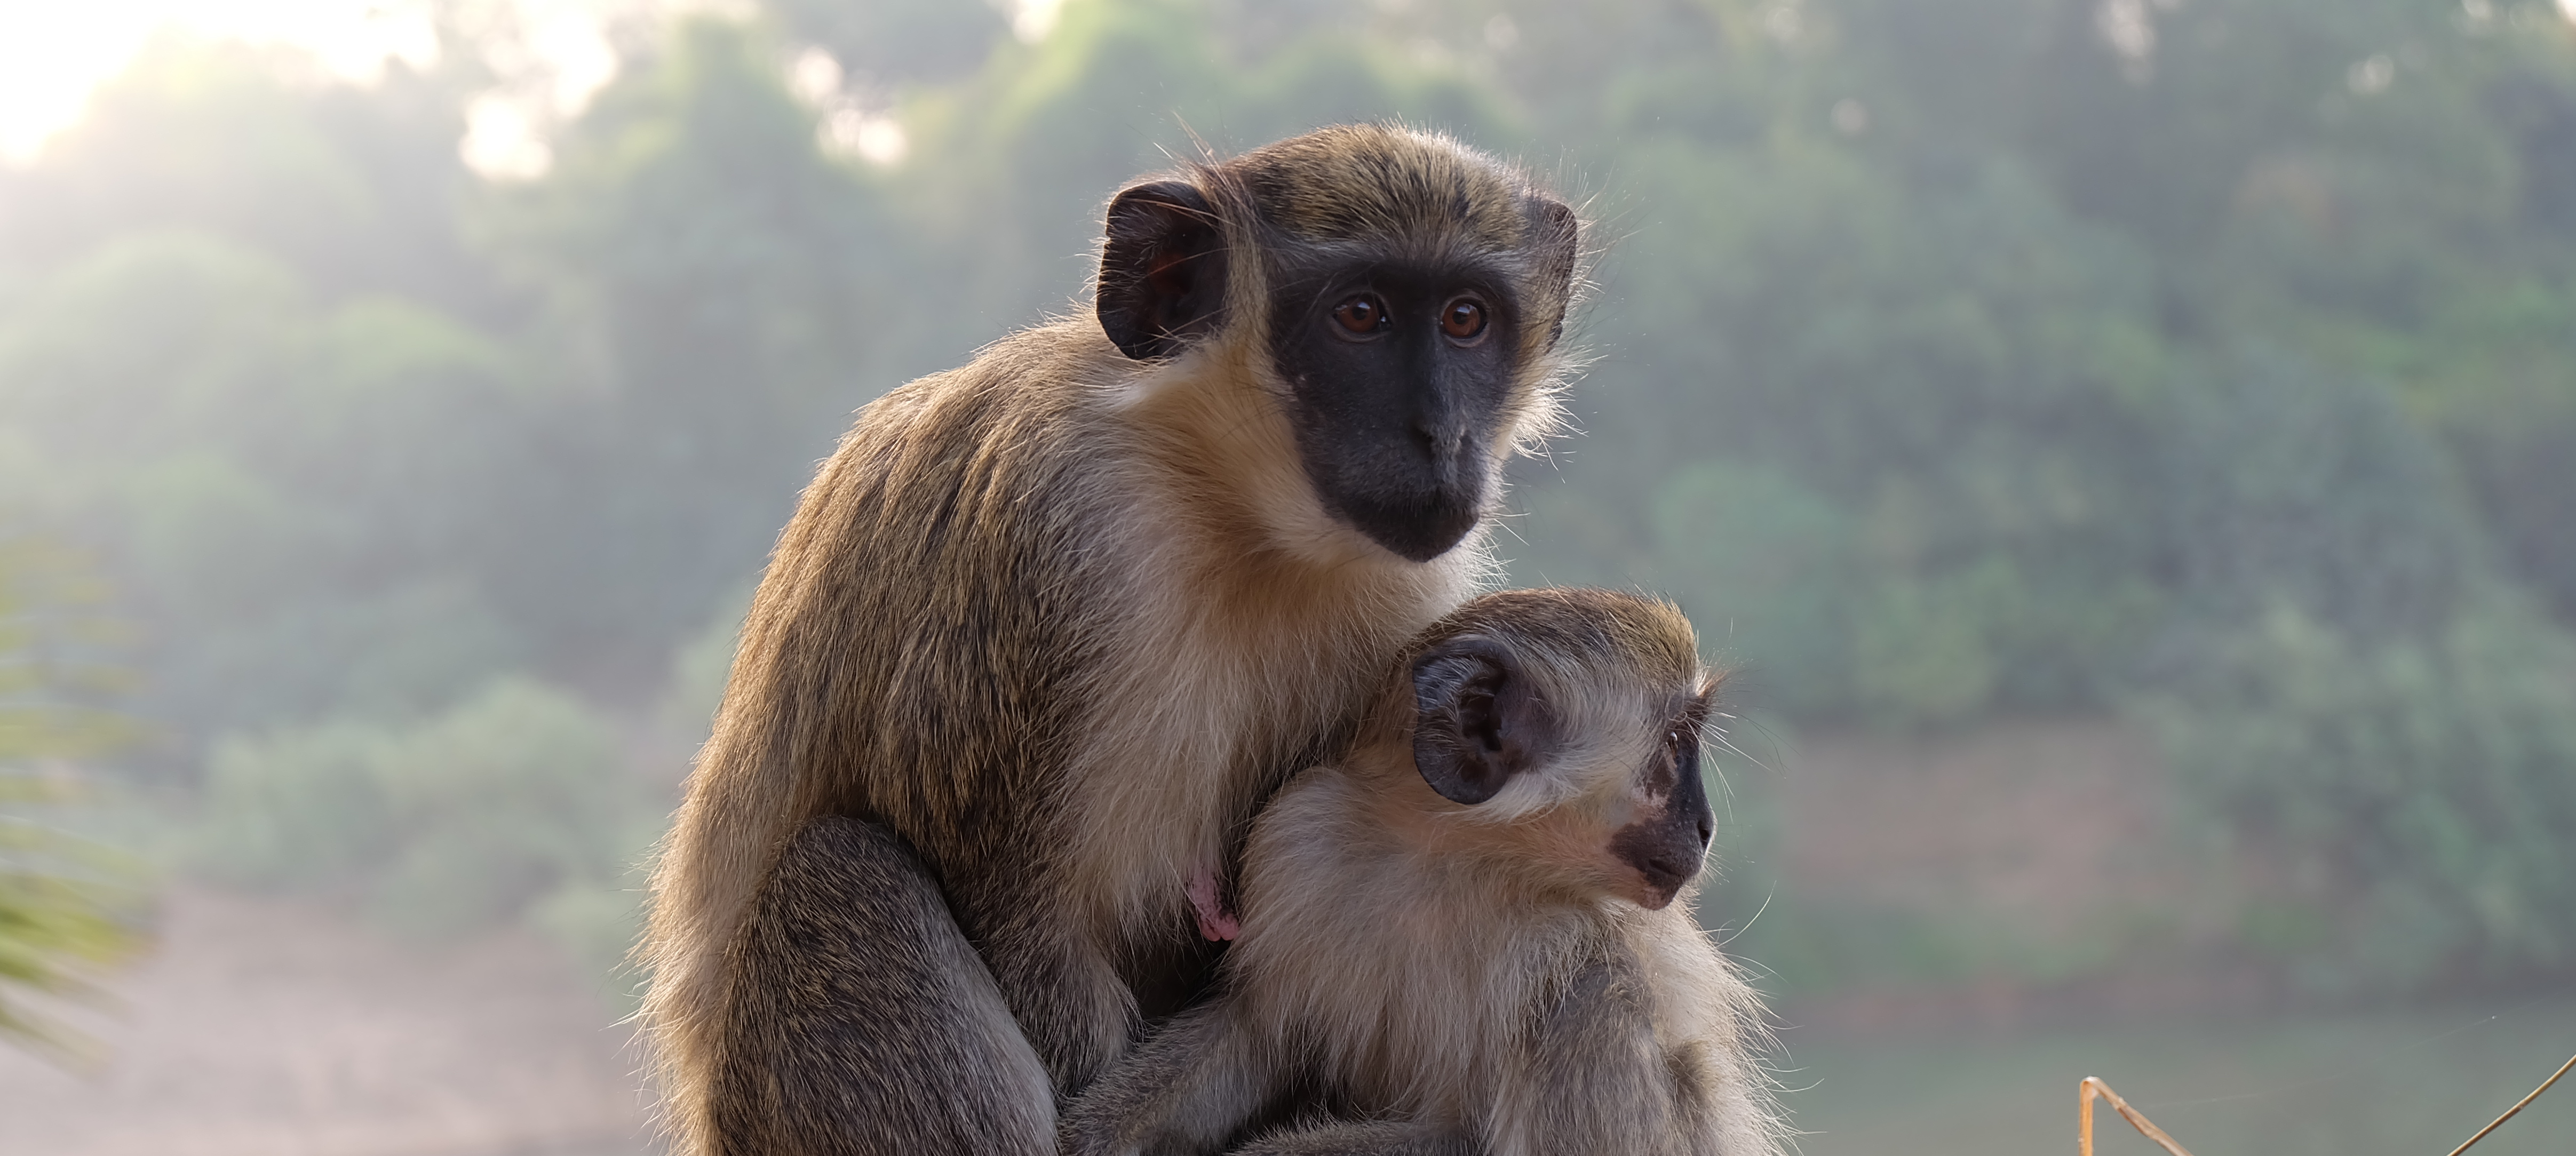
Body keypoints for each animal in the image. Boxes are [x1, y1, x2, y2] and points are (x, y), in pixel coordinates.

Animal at [638, 124, 1583, 1156]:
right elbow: (1020, 914)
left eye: (1465, 319)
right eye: (1361, 316)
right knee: (840, 872)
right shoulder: (1047, 539)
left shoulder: (1404, 604)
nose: (1439, 436)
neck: (1228, 512)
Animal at [1060, 587, 1783, 1156]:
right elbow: (1256, 1026)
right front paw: (1094, 1133)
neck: (1451, 859)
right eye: (1674, 745)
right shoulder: (1298, 842)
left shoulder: (1567, 946)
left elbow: (1467, 1132)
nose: (1706, 827)